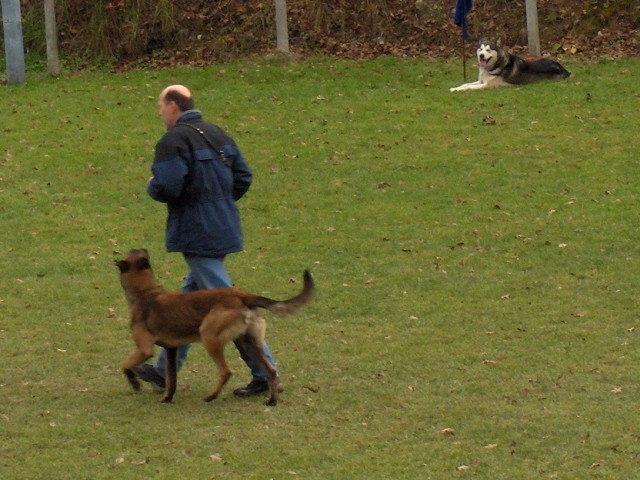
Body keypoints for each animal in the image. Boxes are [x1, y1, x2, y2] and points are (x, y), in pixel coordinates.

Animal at [117, 249, 316, 406]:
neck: (145, 292)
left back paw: (211, 396)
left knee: (226, 371)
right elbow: (171, 380)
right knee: (271, 371)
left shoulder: (144, 349)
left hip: (209, 337)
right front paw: (167, 399)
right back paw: (271, 400)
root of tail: (243, 296)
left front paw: (134, 383)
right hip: (249, 343)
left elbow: (125, 364)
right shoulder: (172, 350)